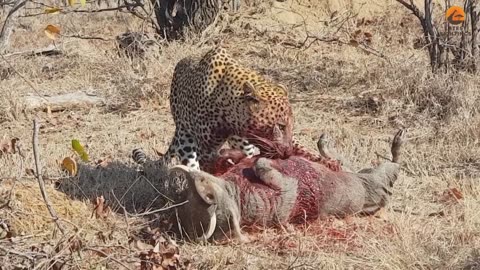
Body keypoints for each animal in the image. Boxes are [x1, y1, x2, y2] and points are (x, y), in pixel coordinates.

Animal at [161, 46, 330, 173]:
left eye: (291, 126)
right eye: (281, 126)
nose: (288, 153)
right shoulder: (206, 150)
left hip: (241, 143)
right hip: (185, 139)